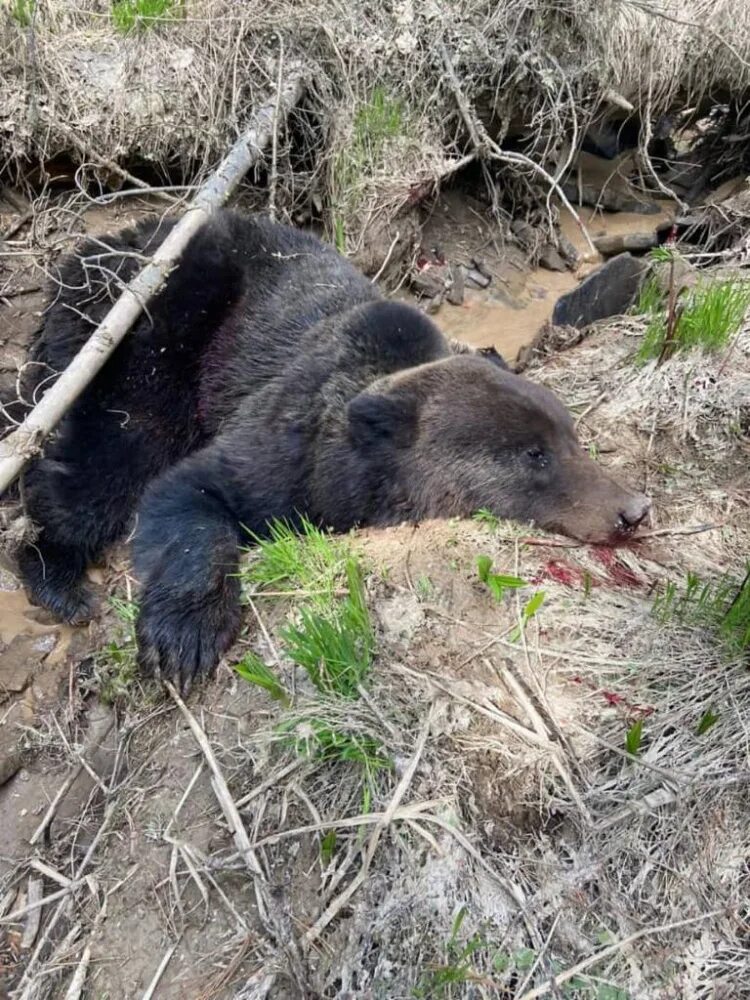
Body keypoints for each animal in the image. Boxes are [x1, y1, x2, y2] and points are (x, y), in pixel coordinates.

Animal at [14, 207, 656, 692]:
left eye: (572, 437)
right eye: (533, 455)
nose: (633, 510)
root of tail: (87, 252)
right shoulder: (285, 453)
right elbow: (188, 489)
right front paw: (184, 636)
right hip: (151, 331)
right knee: (115, 456)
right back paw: (60, 578)